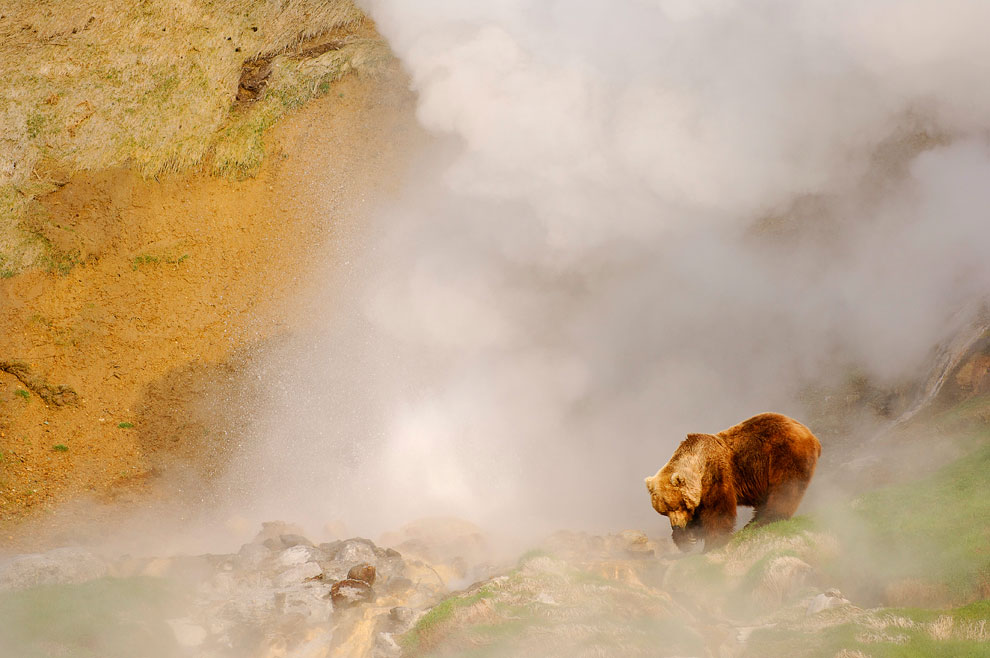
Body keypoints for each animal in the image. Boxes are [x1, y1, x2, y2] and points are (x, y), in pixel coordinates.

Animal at [644, 412, 821, 552]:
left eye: (675, 505)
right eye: (664, 511)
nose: (676, 525)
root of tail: (811, 434)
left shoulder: (716, 476)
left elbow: (718, 513)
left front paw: (712, 544)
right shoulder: (701, 494)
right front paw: (686, 538)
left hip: (784, 454)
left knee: (785, 489)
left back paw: (765, 520)